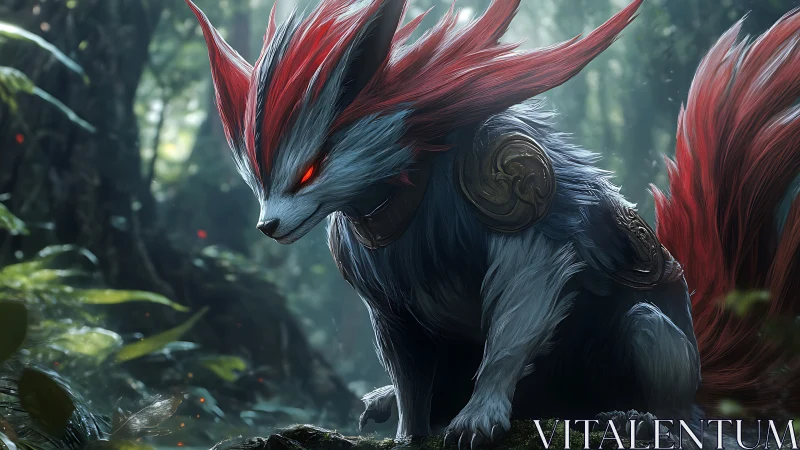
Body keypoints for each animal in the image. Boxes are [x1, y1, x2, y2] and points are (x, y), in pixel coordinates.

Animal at [187, 0, 800, 447]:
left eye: (311, 169)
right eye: (257, 179)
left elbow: (521, 308)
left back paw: (645, 417)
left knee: (649, 340)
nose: (267, 226)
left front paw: (478, 413)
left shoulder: (519, 205)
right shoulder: (380, 292)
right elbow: (406, 364)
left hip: (654, 350)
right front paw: (409, 428)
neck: (407, 192)